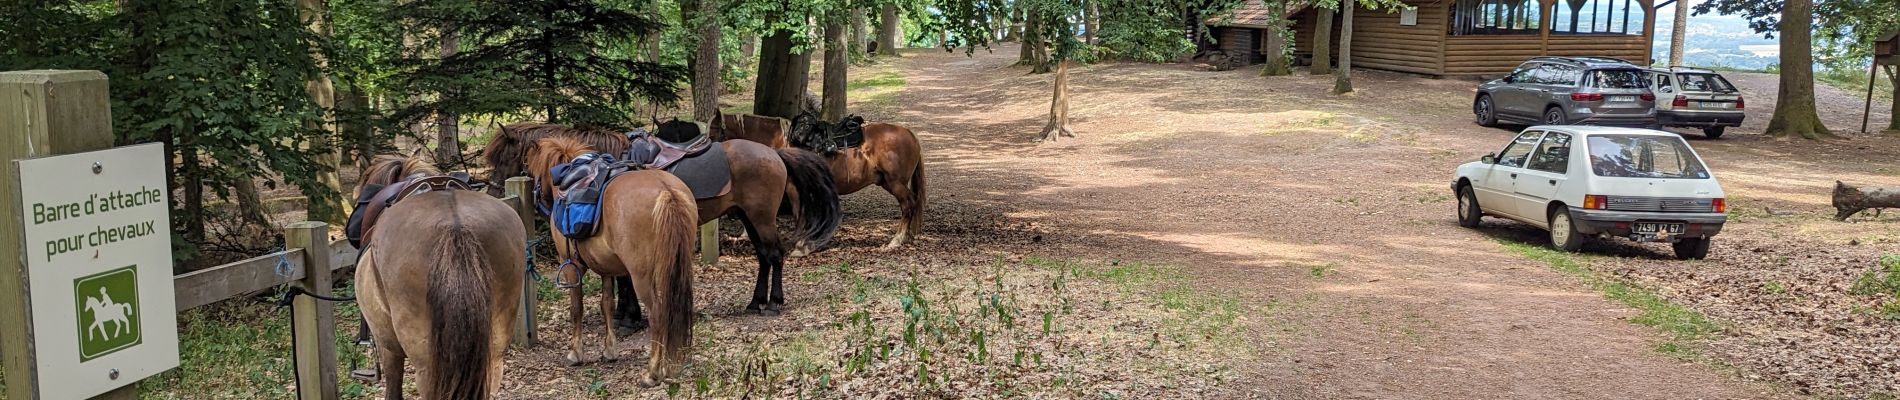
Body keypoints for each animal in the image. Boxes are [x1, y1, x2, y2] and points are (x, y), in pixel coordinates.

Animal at [486, 120, 843, 320]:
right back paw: (756, 302)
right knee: (764, 258)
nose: (491, 193)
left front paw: (627, 316)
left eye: (505, 159)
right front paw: (624, 314)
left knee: (774, 256)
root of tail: (774, 153)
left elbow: (624, 278)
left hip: (762, 217)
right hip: (748, 217)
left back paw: (773, 303)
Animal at [520, 136, 699, 384]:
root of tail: (666, 191)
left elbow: (576, 307)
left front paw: (575, 353)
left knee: (657, 314)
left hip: (642, 276)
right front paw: (610, 351)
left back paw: (652, 372)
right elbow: (607, 305)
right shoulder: (606, 269)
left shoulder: (571, 266)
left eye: (528, 166)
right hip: (675, 269)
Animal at [710, 109, 923, 250]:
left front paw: (801, 244)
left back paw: (895, 241)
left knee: (908, 205)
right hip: (886, 181)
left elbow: (797, 213)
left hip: (896, 183)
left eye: (714, 134)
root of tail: (910, 134)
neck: (778, 142)